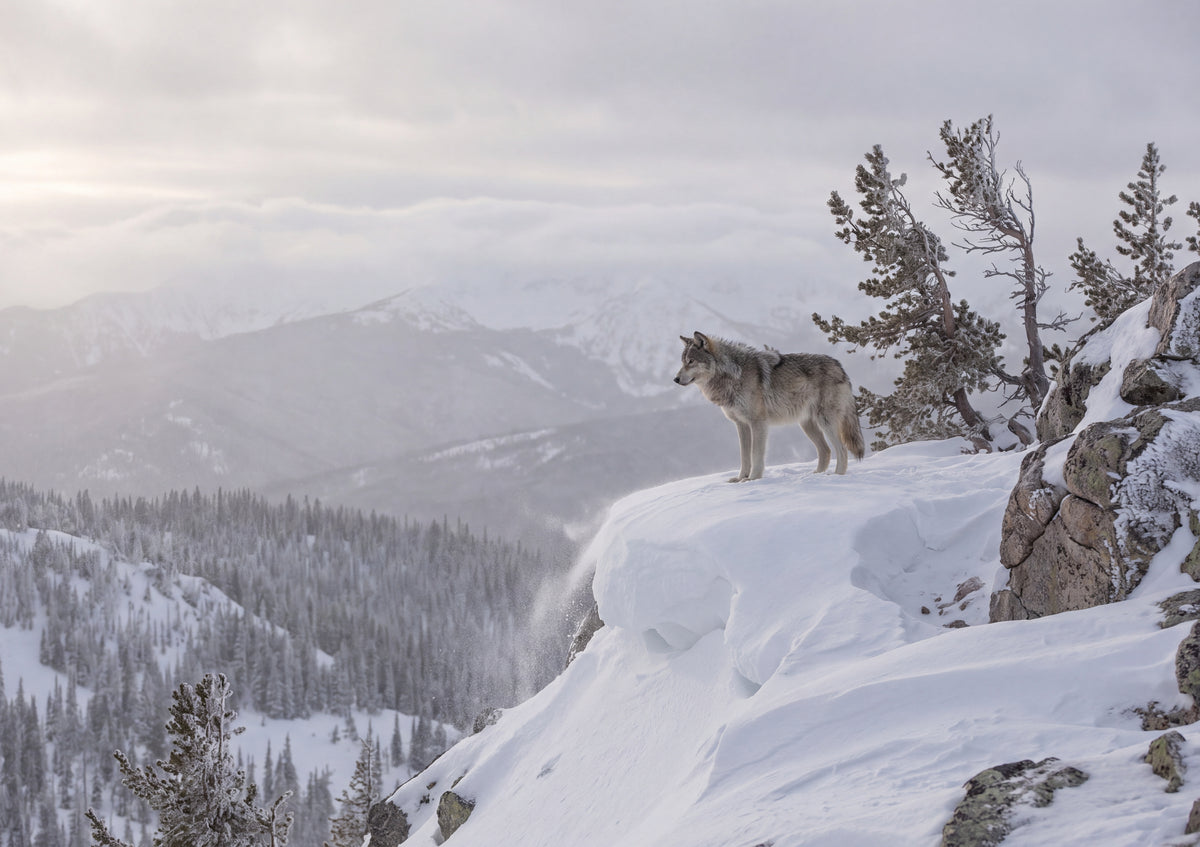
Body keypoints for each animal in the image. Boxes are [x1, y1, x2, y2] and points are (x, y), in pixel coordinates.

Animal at [674, 331, 865, 480]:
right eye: (682, 361)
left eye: (691, 361)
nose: (675, 379)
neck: (733, 374)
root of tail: (840, 366)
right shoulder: (741, 425)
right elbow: (744, 456)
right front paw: (741, 479)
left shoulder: (758, 422)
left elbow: (755, 454)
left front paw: (753, 479)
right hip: (807, 425)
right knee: (825, 451)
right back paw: (815, 475)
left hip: (825, 422)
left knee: (842, 450)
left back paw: (836, 476)